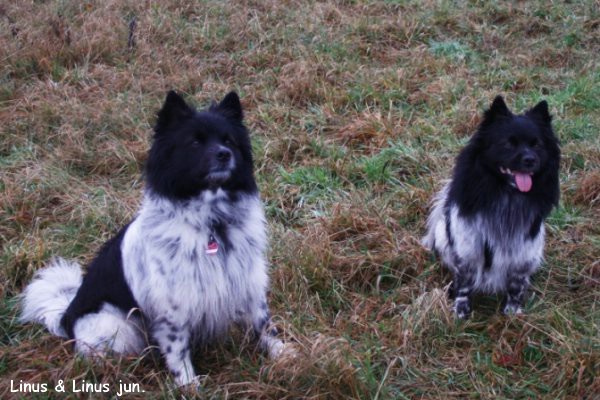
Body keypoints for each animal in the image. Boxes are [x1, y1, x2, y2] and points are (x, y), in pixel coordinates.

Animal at [19, 90, 288, 384]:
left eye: (228, 140)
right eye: (195, 142)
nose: (224, 154)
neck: (212, 223)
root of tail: (66, 315)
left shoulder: (248, 282)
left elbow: (265, 325)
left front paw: (284, 356)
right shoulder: (173, 308)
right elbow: (178, 352)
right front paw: (189, 385)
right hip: (114, 323)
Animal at [424, 96, 560, 318]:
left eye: (536, 144)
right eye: (509, 144)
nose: (530, 160)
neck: (507, 196)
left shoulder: (523, 253)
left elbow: (516, 285)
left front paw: (512, 313)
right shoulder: (468, 248)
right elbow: (464, 285)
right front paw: (461, 313)